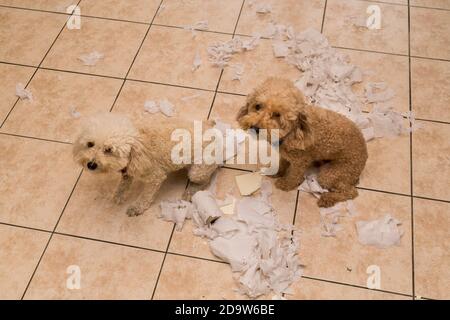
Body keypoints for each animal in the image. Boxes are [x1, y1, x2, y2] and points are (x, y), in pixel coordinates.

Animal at [73, 113, 218, 218]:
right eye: (90, 144)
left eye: (109, 150)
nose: (91, 164)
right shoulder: (128, 170)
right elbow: (124, 183)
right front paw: (119, 195)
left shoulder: (155, 177)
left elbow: (145, 196)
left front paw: (137, 207)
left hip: (198, 171)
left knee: (205, 180)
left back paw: (191, 191)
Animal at [237, 77, 368, 208]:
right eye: (258, 106)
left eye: (277, 114)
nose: (255, 127)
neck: (293, 133)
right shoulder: (285, 156)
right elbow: (282, 164)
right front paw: (277, 173)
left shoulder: (300, 163)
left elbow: (294, 176)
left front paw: (285, 184)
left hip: (331, 174)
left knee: (351, 192)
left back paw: (327, 199)